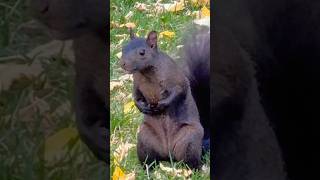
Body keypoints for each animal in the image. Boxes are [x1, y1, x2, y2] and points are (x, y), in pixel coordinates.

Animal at [119, 30, 204, 169]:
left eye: (142, 52)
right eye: (123, 48)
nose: (122, 64)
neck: (147, 73)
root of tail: (168, 154)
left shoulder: (176, 80)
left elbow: (177, 93)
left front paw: (162, 105)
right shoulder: (136, 85)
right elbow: (136, 97)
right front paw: (142, 107)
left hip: (189, 140)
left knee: (190, 161)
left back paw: (193, 169)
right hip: (145, 139)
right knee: (150, 160)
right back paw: (147, 169)